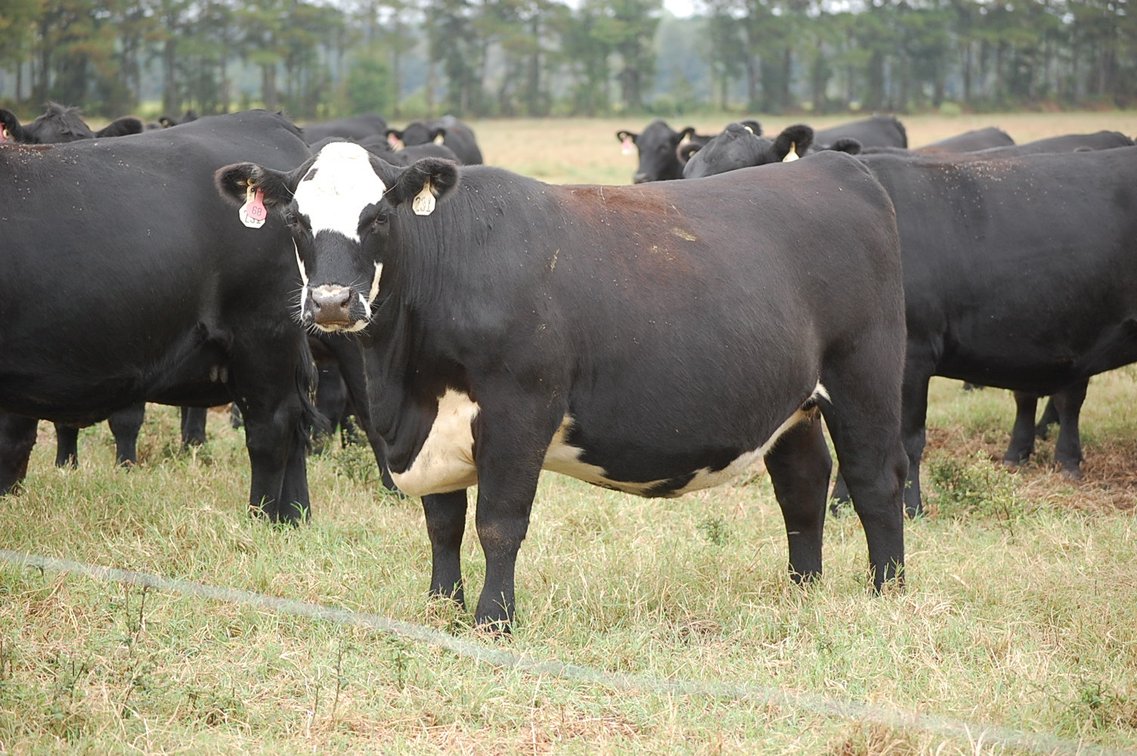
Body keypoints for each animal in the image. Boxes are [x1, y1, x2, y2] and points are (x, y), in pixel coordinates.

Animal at [215, 143, 909, 630]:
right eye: (296, 220)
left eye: (379, 216)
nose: (332, 302)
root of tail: (839, 169)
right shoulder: (432, 428)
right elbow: (442, 522)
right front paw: (441, 606)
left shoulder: (521, 408)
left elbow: (498, 522)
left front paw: (494, 620)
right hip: (795, 403)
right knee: (803, 486)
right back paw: (804, 588)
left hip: (866, 377)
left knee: (875, 483)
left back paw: (887, 591)